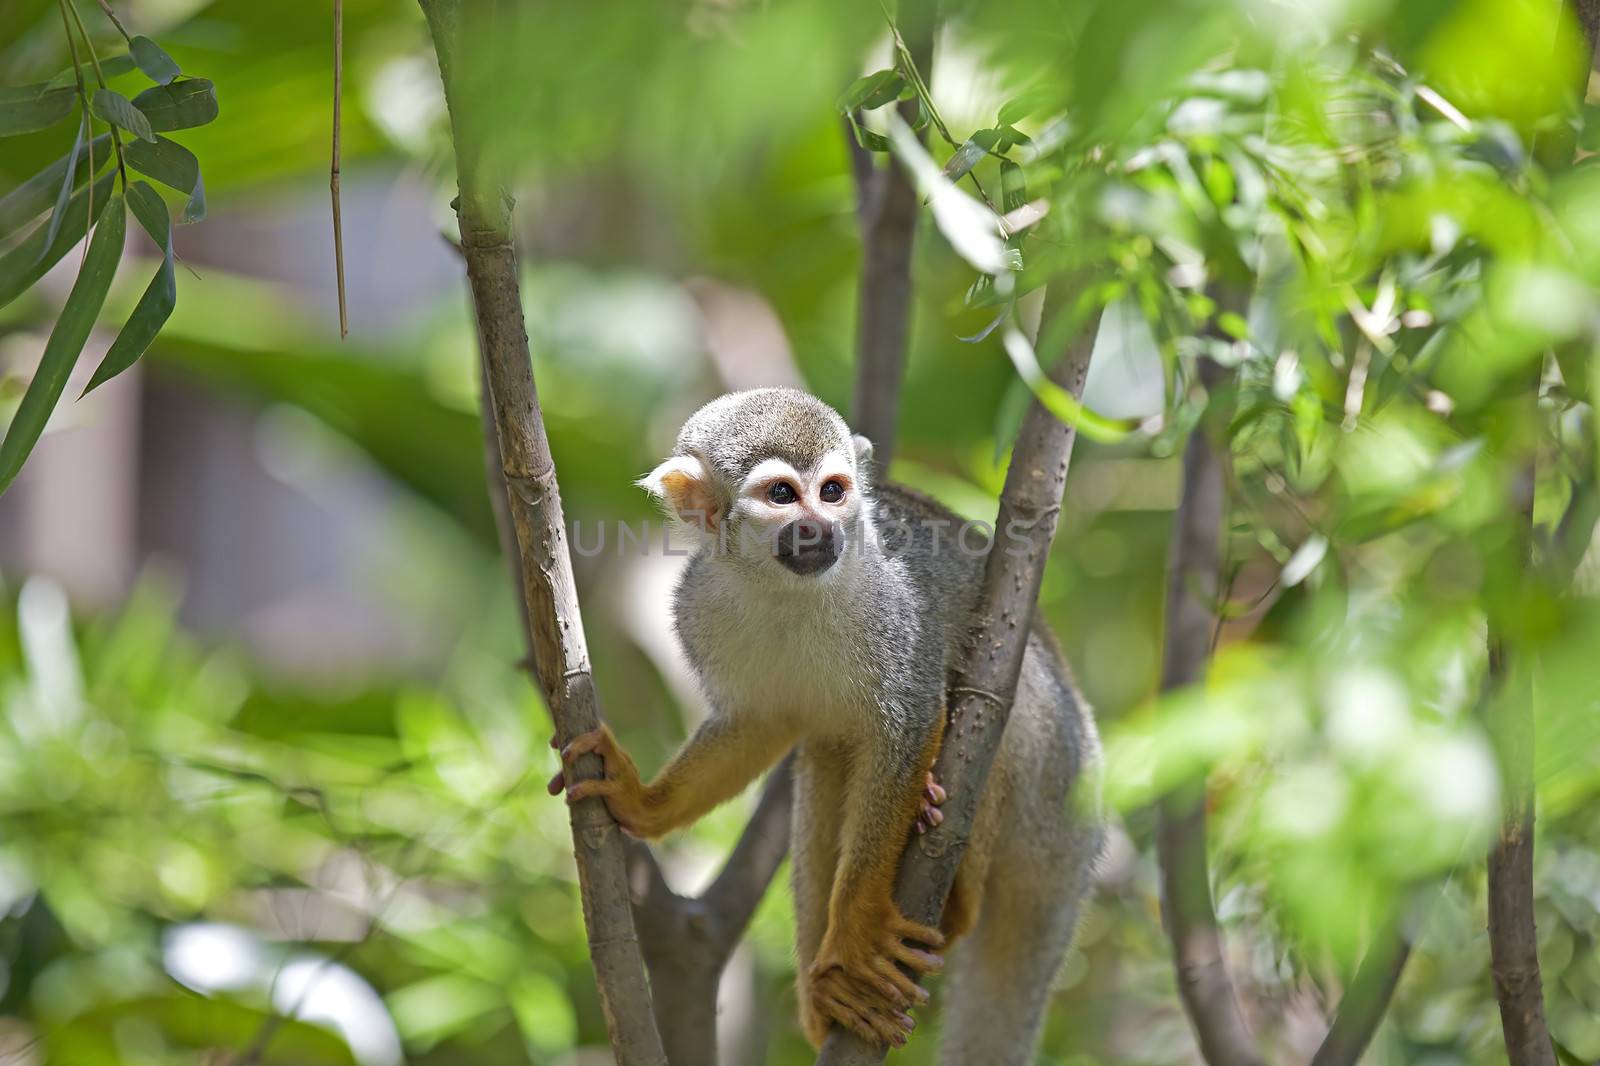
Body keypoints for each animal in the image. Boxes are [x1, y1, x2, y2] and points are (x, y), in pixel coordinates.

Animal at [550, 390, 1100, 1062]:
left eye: (833, 491)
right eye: (783, 495)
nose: (821, 527)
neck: (786, 589)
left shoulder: (893, 604)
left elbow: (909, 721)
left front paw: (858, 928)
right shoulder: (700, 605)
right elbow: (761, 721)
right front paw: (642, 801)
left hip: (1055, 771)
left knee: (1001, 712)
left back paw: (953, 899)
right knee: (825, 757)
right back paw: (825, 1003)